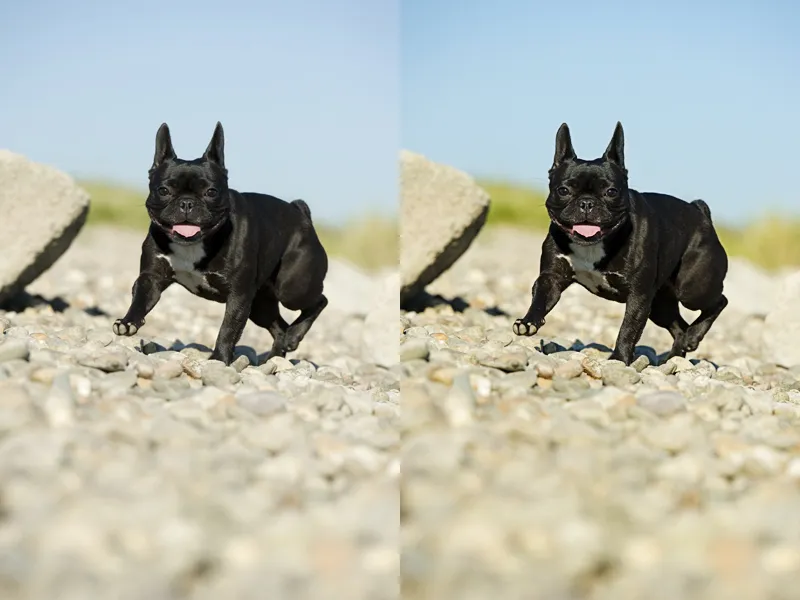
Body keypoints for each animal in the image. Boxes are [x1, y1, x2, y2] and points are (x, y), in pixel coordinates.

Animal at [112, 122, 328, 366]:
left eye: (211, 192)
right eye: (164, 191)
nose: (187, 203)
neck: (192, 245)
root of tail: (301, 214)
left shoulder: (238, 296)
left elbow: (229, 329)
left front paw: (219, 359)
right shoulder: (152, 278)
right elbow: (141, 298)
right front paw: (128, 322)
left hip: (292, 287)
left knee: (319, 300)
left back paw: (293, 336)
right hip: (261, 304)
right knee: (279, 327)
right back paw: (276, 357)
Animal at [512, 122, 732, 366]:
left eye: (611, 192)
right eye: (563, 190)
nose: (586, 202)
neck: (592, 245)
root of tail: (701, 213)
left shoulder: (638, 297)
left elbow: (629, 328)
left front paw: (618, 359)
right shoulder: (552, 278)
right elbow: (541, 297)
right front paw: (528, 322)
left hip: (692, 288)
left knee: (719, 301)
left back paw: (692, 337)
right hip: (660, 304)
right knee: (679, 327)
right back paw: (678, 354)